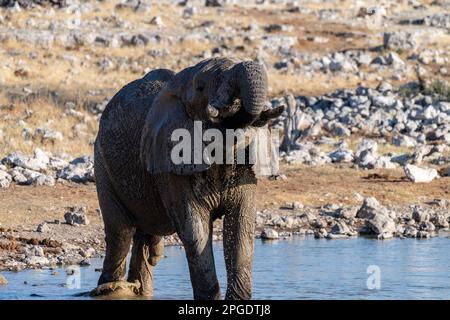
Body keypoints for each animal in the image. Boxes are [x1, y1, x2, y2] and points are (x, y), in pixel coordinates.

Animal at [94, 56, 284, 298]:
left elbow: (241, 228)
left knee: (143, 237)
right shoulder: (170, 164)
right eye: (201, 87)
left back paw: (140, 289)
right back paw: (109, 288)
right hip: (102, 163)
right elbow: (195, 229)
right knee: (120, 233)